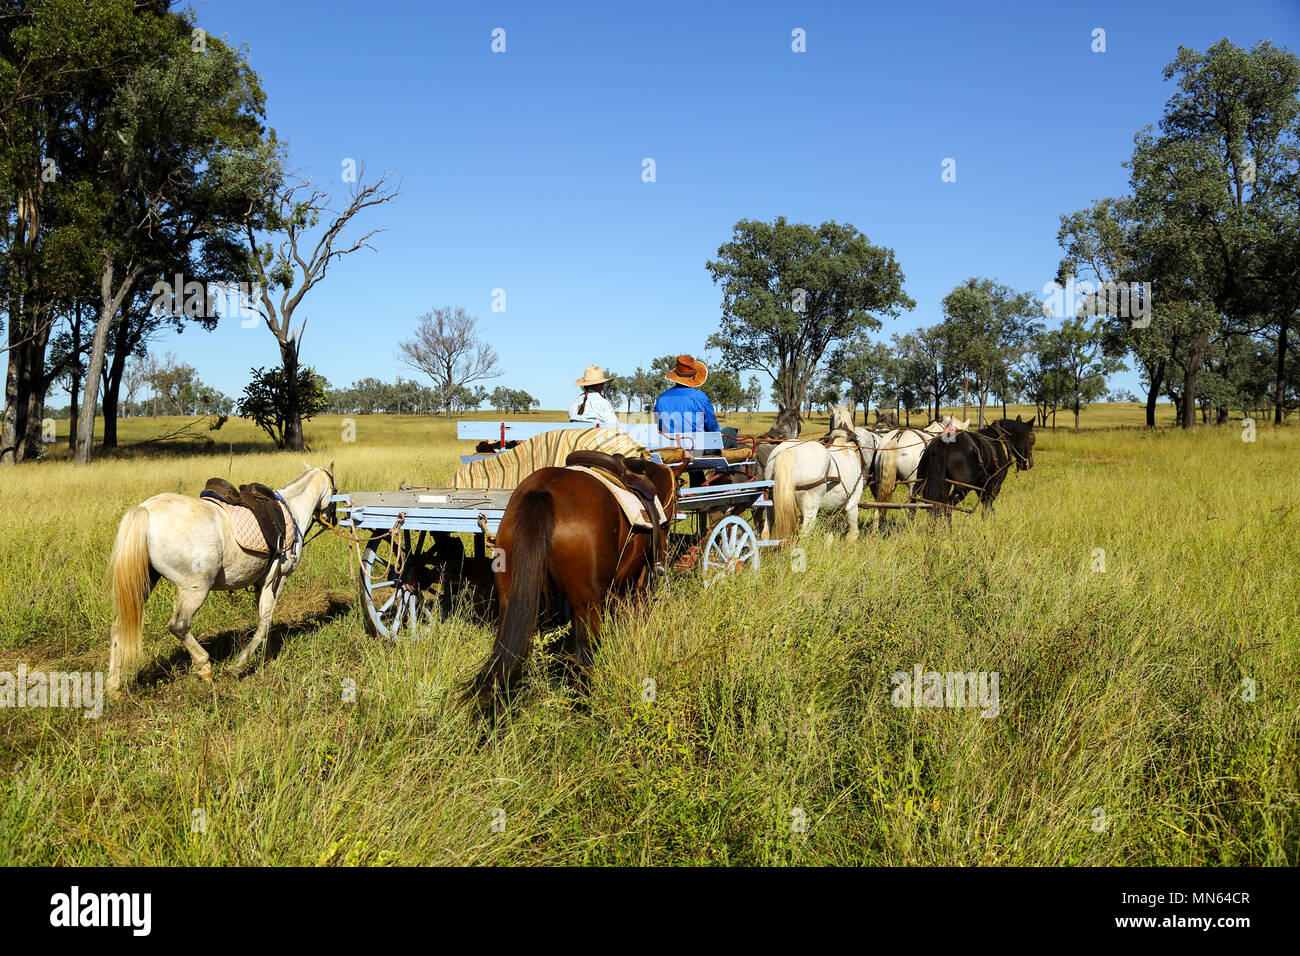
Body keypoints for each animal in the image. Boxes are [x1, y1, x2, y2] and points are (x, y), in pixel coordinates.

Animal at [105, 462, 337, 696]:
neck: (292, 510)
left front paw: (268, 656)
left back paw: (114, 686)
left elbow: (265, 620)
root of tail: (144, 509)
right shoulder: (277, 579)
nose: (333, 520)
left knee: (118, 627)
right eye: (335, 490)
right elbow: (265, 622)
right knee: (179, 626)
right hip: (195, 589)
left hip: (144, 584)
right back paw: (204, 668)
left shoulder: (261, 583)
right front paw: (240, 665)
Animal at [764, 405, 868, 541]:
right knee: (804, 534)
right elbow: (853, 534)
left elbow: (828, 535)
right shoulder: (852, 505)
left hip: (770, 504)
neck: (842, 442)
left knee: (765, 532)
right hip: (810, 508)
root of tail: (786, 453)